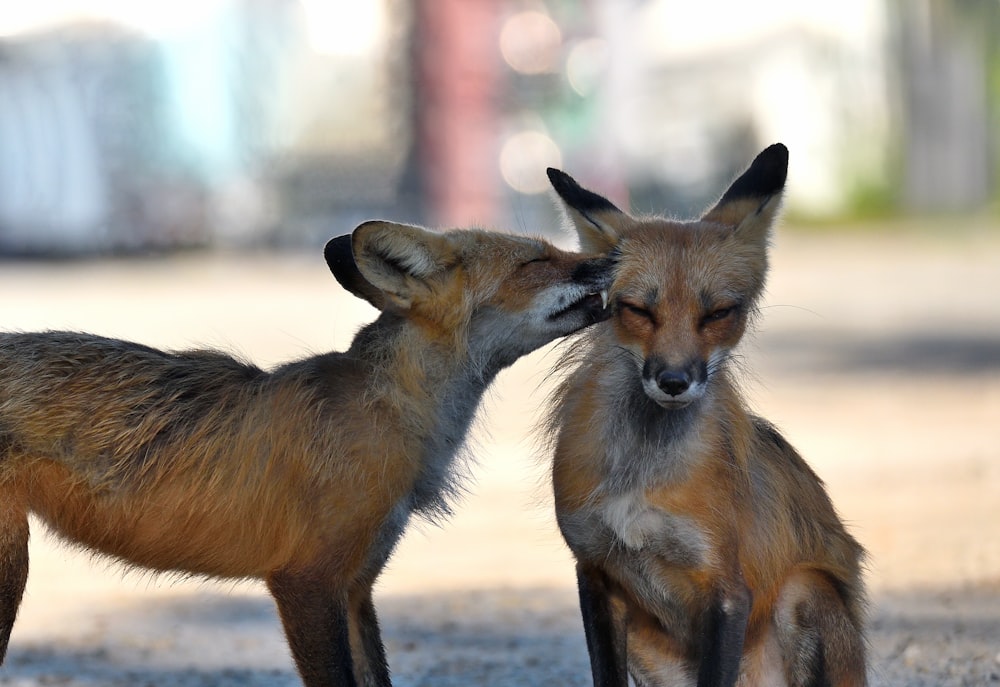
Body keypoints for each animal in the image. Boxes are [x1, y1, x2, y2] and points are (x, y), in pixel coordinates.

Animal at [0, 220, 612, 687]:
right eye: (538, 259)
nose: (614, 255)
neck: (389, 412)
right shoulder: (305, 581)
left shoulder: (357, 584)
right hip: (12, 571)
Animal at [544, 142, 864, 684]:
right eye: (638, 310)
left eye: (717, 314)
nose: (674, 380)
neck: (643, 475)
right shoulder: (594, 571)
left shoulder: (726, 588)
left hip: (804, 590)